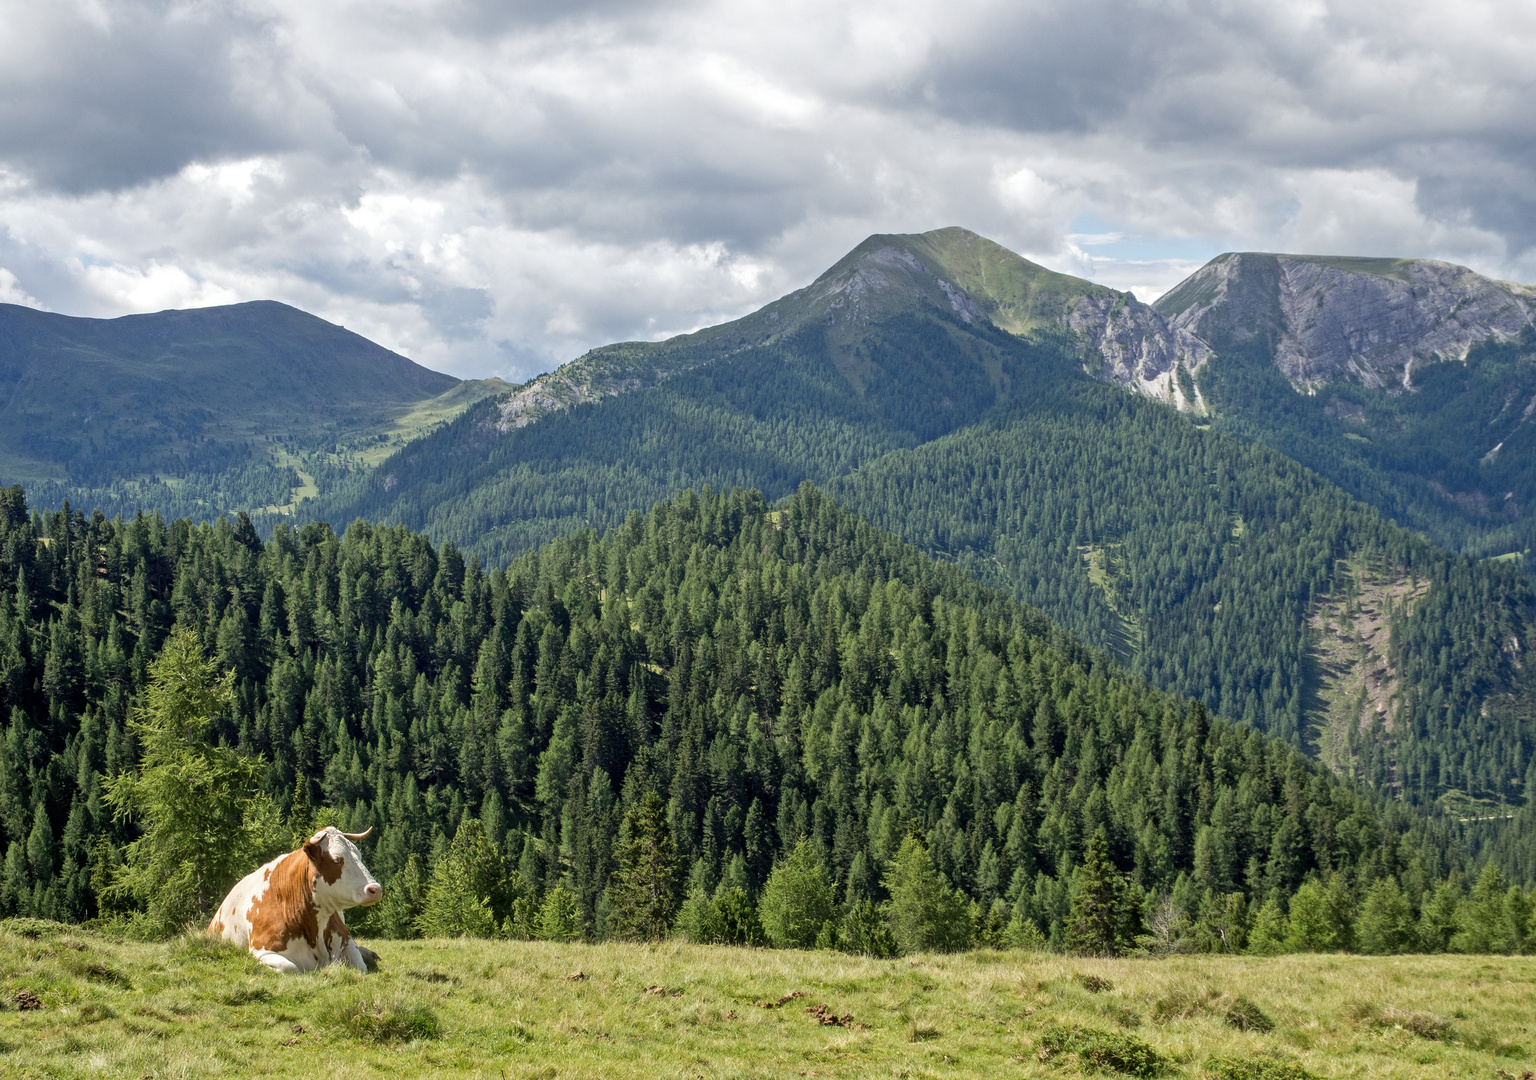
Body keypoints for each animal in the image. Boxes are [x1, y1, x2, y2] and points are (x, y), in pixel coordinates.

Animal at [210, 823, 384, 977]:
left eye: (359, 856)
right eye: (337, 860)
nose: (375, 889)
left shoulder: (346, 940)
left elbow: (360, 966)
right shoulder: (262, 951)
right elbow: (291, 968)